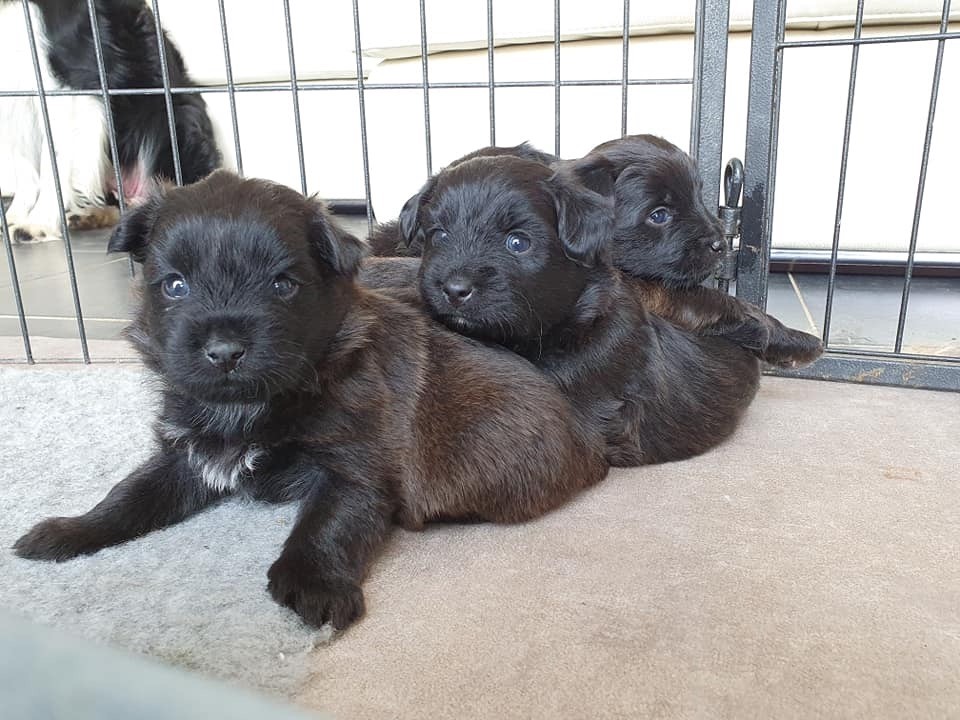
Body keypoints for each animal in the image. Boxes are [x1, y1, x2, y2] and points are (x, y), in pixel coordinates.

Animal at [0, 0, 221, 244]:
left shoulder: (68, 83)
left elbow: (52, 163)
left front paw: (38, 222)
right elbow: (24, 166)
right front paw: (14, 215)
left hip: (175, 124)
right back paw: (87, 215)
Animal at [13, 171, 608, 633]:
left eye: (282, 285)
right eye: (175, 286)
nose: (224, 351)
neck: (255, 405)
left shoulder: (354, 464)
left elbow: (327, 523)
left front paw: (315, 586)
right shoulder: (187, 454)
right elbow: (129, 494)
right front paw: (69, 530)